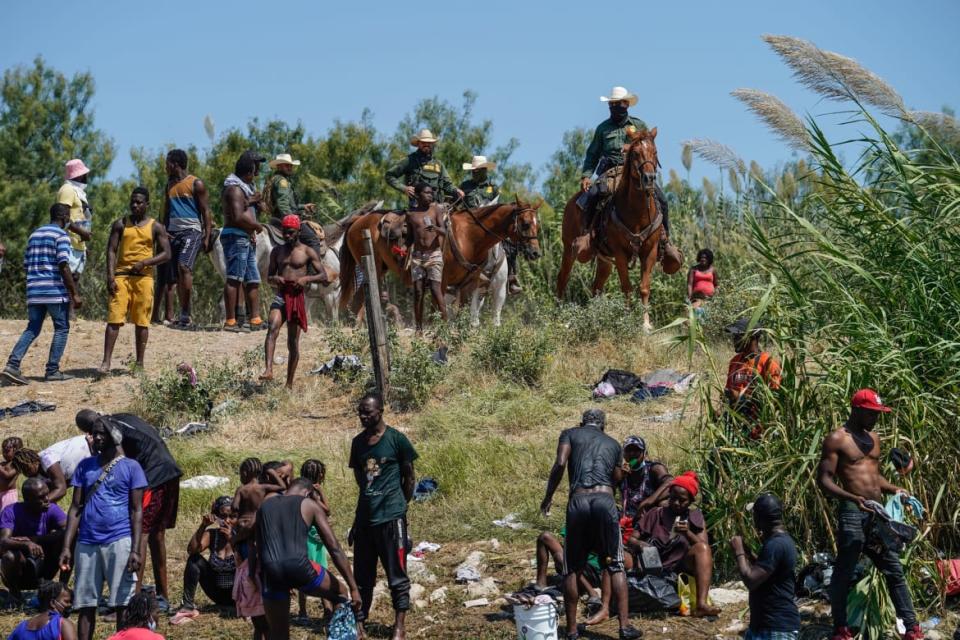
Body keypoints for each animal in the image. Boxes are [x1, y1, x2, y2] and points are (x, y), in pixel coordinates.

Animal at [342, 199, 540, 322]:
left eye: (537, 224)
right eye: (525, 224)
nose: (535, 252)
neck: (468, 236)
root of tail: (357, 220)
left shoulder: (469, 284)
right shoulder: (441, 281)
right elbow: (436, 312)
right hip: (372, 269)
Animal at [560, 128, 664, 332]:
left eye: (655, 153)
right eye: (635, 153)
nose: (649, 178)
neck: (636, 213)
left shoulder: (650, 251)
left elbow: (644, 287)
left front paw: (646, 324)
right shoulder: (620, 253)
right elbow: (627, 287)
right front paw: (627, 320)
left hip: (604, 261)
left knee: (596, 287)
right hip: (569, 249)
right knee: (563, 278)